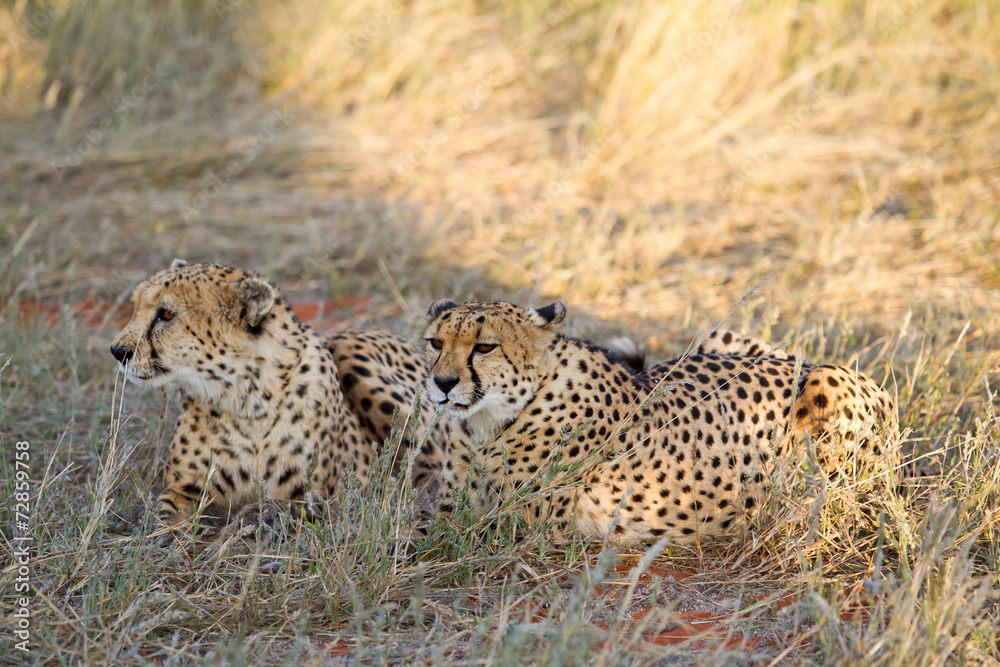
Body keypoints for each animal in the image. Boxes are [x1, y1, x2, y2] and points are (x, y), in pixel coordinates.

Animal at [109, 260, 446, 535]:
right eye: (136, 307)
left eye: (166, 314)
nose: (117, 351)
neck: (246, 397)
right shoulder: (183, 489)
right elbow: (162, 515)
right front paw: (163, 542)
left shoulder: (319, 497)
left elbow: (268, 509)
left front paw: (231, 536)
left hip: (352, 350)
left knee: (431, 472)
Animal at [422, 299, 899, 542]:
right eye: (435, 343)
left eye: (485, 347)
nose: (442, 383)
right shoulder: (453, 504)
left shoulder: (517, 526)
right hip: (715, 338)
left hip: (826, 387)